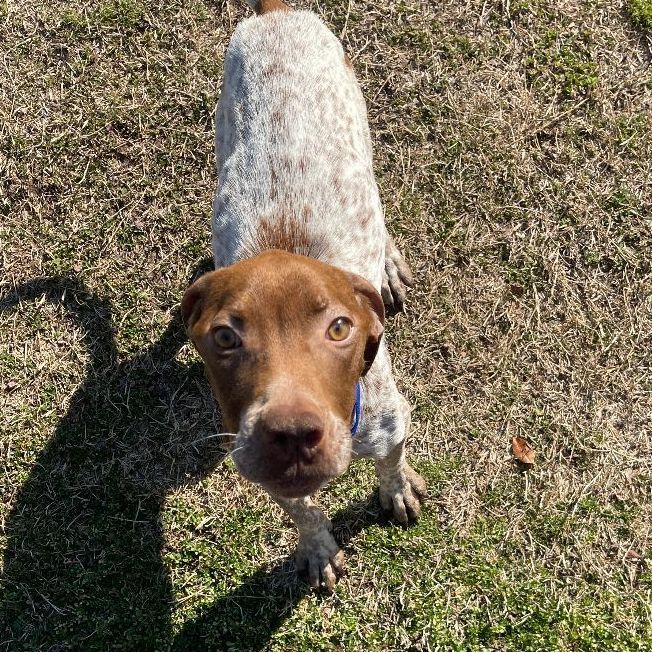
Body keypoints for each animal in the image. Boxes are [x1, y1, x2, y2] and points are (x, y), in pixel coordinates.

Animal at [183, 0, 428, 592]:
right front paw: (316, 547)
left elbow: (391, 463)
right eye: (224, 337)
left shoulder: (391, 423)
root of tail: (276, 14)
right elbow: (304, 511)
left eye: (339, 328)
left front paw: (396, 489)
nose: (291, 435)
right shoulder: (257, 465)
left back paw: (387, 262)